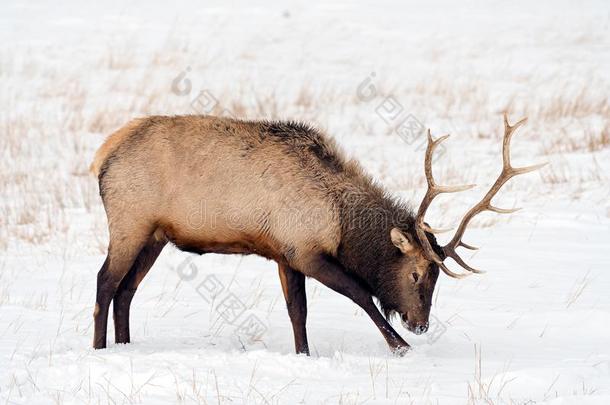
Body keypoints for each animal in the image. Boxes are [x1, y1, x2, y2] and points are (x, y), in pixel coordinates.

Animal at [89, 112, 540, 352]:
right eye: (415, 274)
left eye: (437, 277)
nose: (420, 325)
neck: (340, 220)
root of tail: (103, 155)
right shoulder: (304, 250)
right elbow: (360, 294)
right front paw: (399, 347)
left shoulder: (284, 253)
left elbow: (298, 311)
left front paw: (303, 353)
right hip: (129, 221)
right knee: (105, 282)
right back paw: (99, 347)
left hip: (155, 235)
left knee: (127, 290)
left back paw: (125, 345)